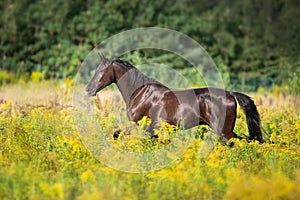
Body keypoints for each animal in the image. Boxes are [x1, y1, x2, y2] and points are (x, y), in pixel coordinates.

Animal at [86, 54, 262, 143]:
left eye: (101, 71)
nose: (88, 89)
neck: (140, 93)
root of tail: (231, 94)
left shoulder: (139, 125)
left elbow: (116, 133)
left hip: (224, 131)